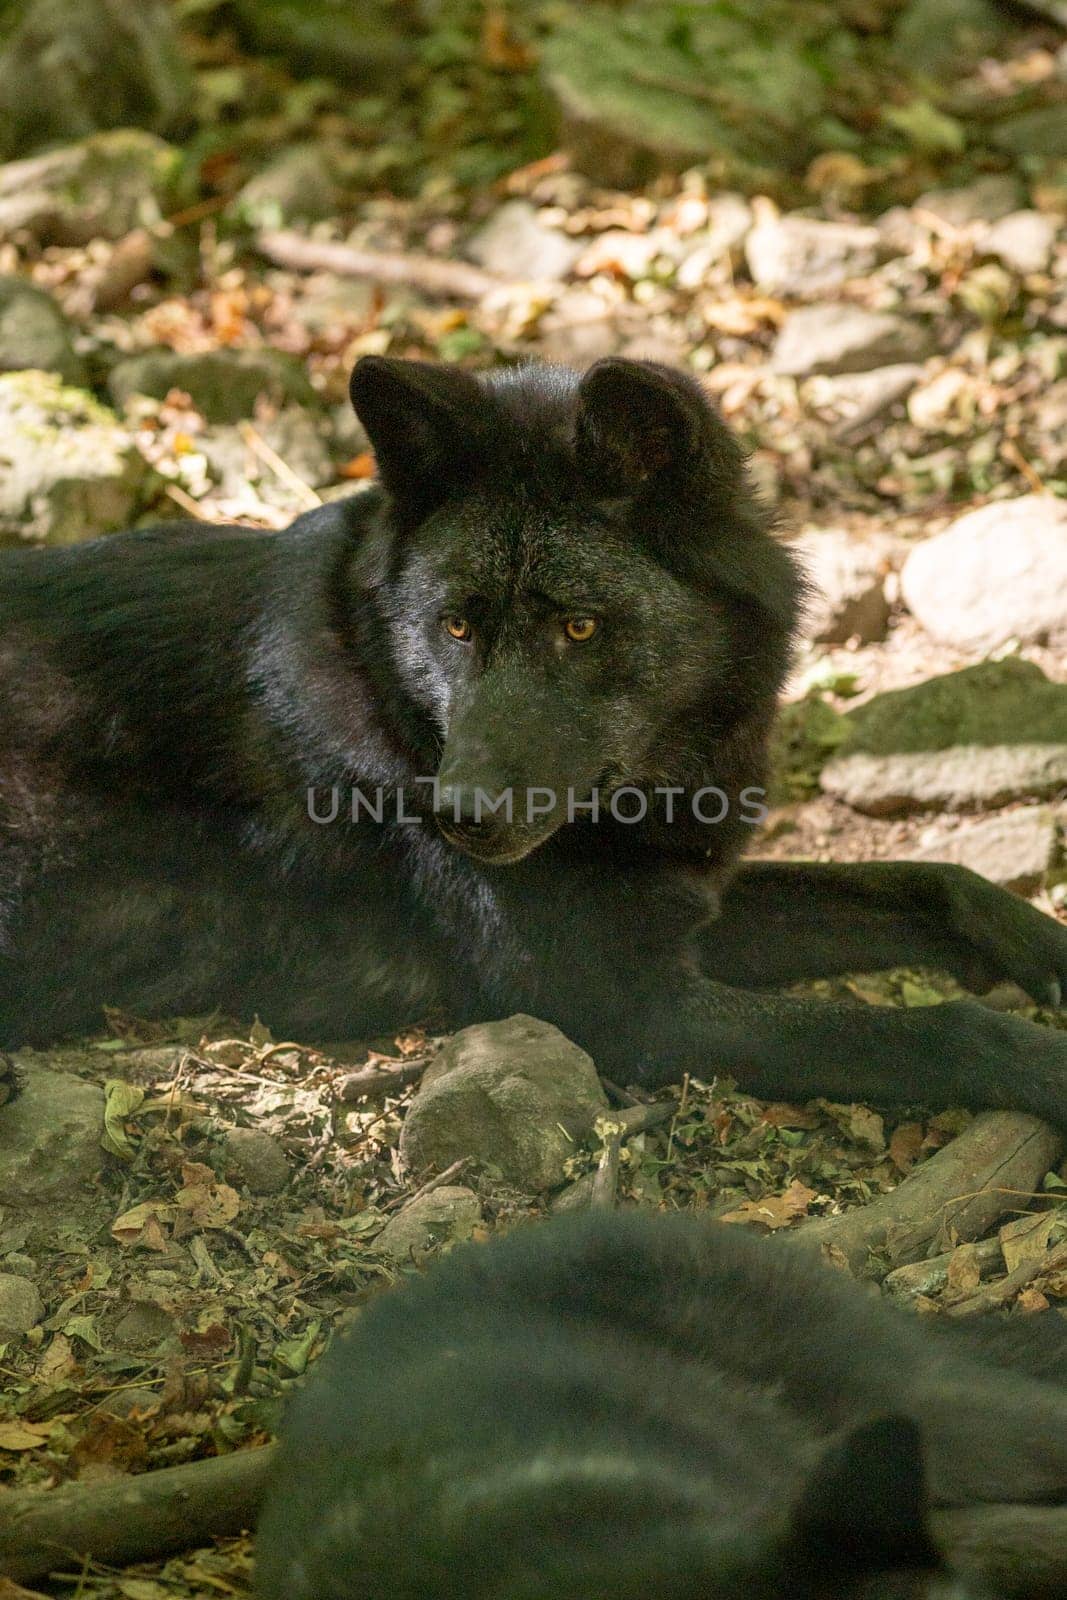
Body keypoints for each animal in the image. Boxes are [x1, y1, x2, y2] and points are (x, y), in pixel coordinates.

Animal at [2, 353, 1067, 1126]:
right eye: (456, 626)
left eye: (580, 627)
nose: (457, 814)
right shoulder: (623, 1006)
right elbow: (942, 1033)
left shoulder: (682, 906)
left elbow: (933, 880)